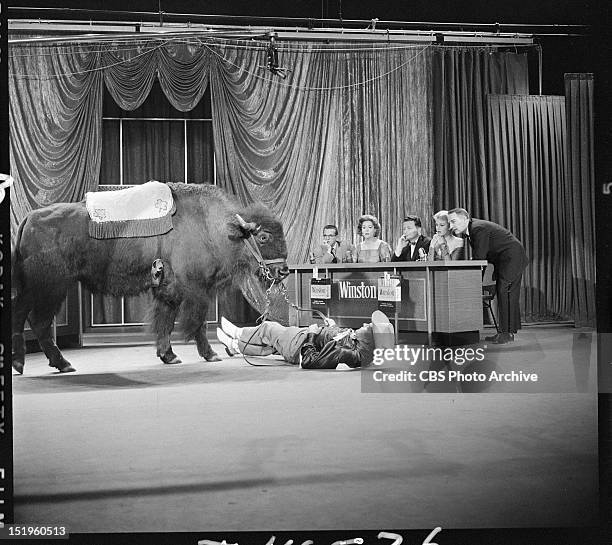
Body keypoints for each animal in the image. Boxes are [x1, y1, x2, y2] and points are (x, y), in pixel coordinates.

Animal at [11, 183, 290, 374]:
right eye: (263, 237)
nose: (284, 271)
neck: (215, 227)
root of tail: (30, 218)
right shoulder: (196, 289)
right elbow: (196, 322)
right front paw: (210, 354)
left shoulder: (168, 289)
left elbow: (165, 320)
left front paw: (169, 355)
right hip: (50, 288)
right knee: (37, 321)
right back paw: (57, 363)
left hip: (39, 290)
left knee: (27, 317)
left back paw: (30, 364)